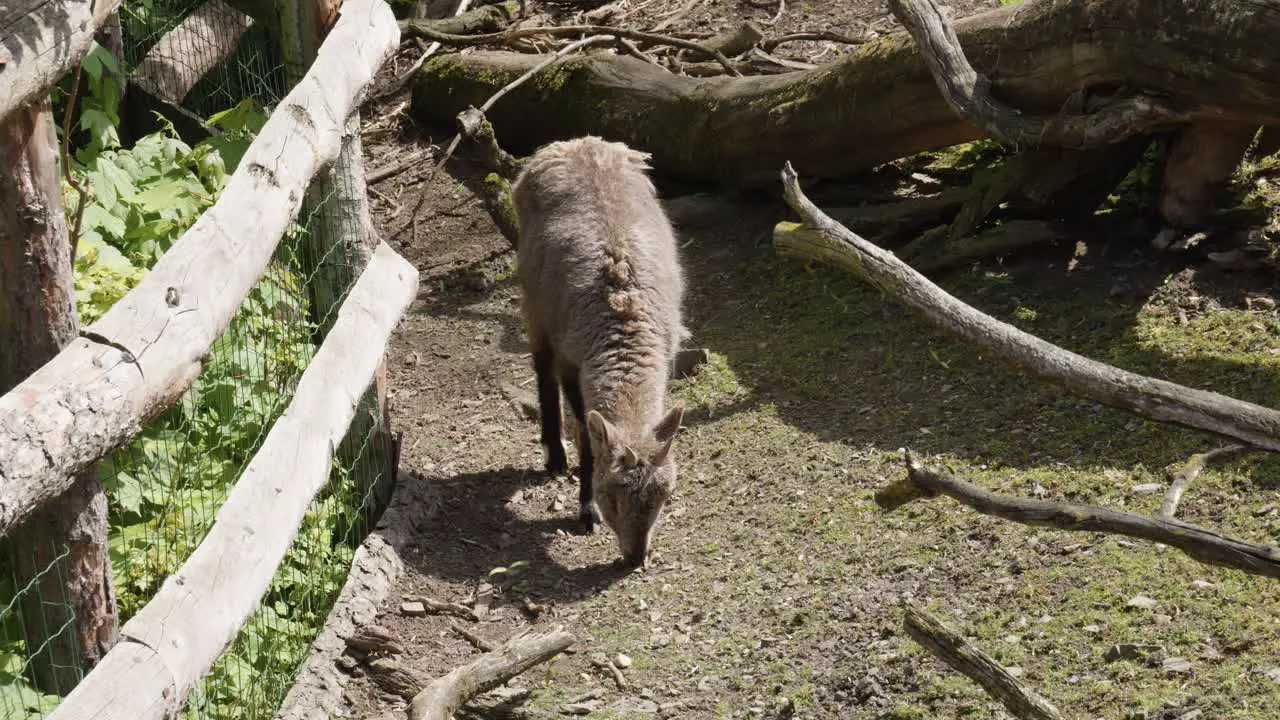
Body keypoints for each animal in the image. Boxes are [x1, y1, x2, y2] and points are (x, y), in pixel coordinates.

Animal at [512, 135, 691, 566]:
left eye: (664, 496)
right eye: (611, 496)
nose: (635, 556)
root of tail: (574, 142)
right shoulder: (571, 360)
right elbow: (584, 431)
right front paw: (584, 510)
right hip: (533, 303)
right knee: (540, 369)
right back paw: (554, 455)